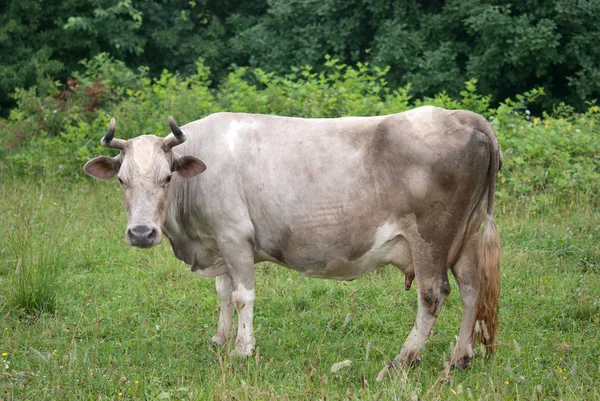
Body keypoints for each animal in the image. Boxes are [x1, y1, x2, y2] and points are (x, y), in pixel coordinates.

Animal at [82, 106, 500, 376]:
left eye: (167, 178)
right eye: (122, 180)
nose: (141, 233)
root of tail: (465, 116)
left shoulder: (234, 236)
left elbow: (242, 295)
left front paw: (242, 350)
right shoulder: (216, 240)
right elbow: (222, 292)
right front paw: (220, 339)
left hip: (431, 238)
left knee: (432, 295)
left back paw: (405, 358)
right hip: (466, 234)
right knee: (470, 287)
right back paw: (460, 356)